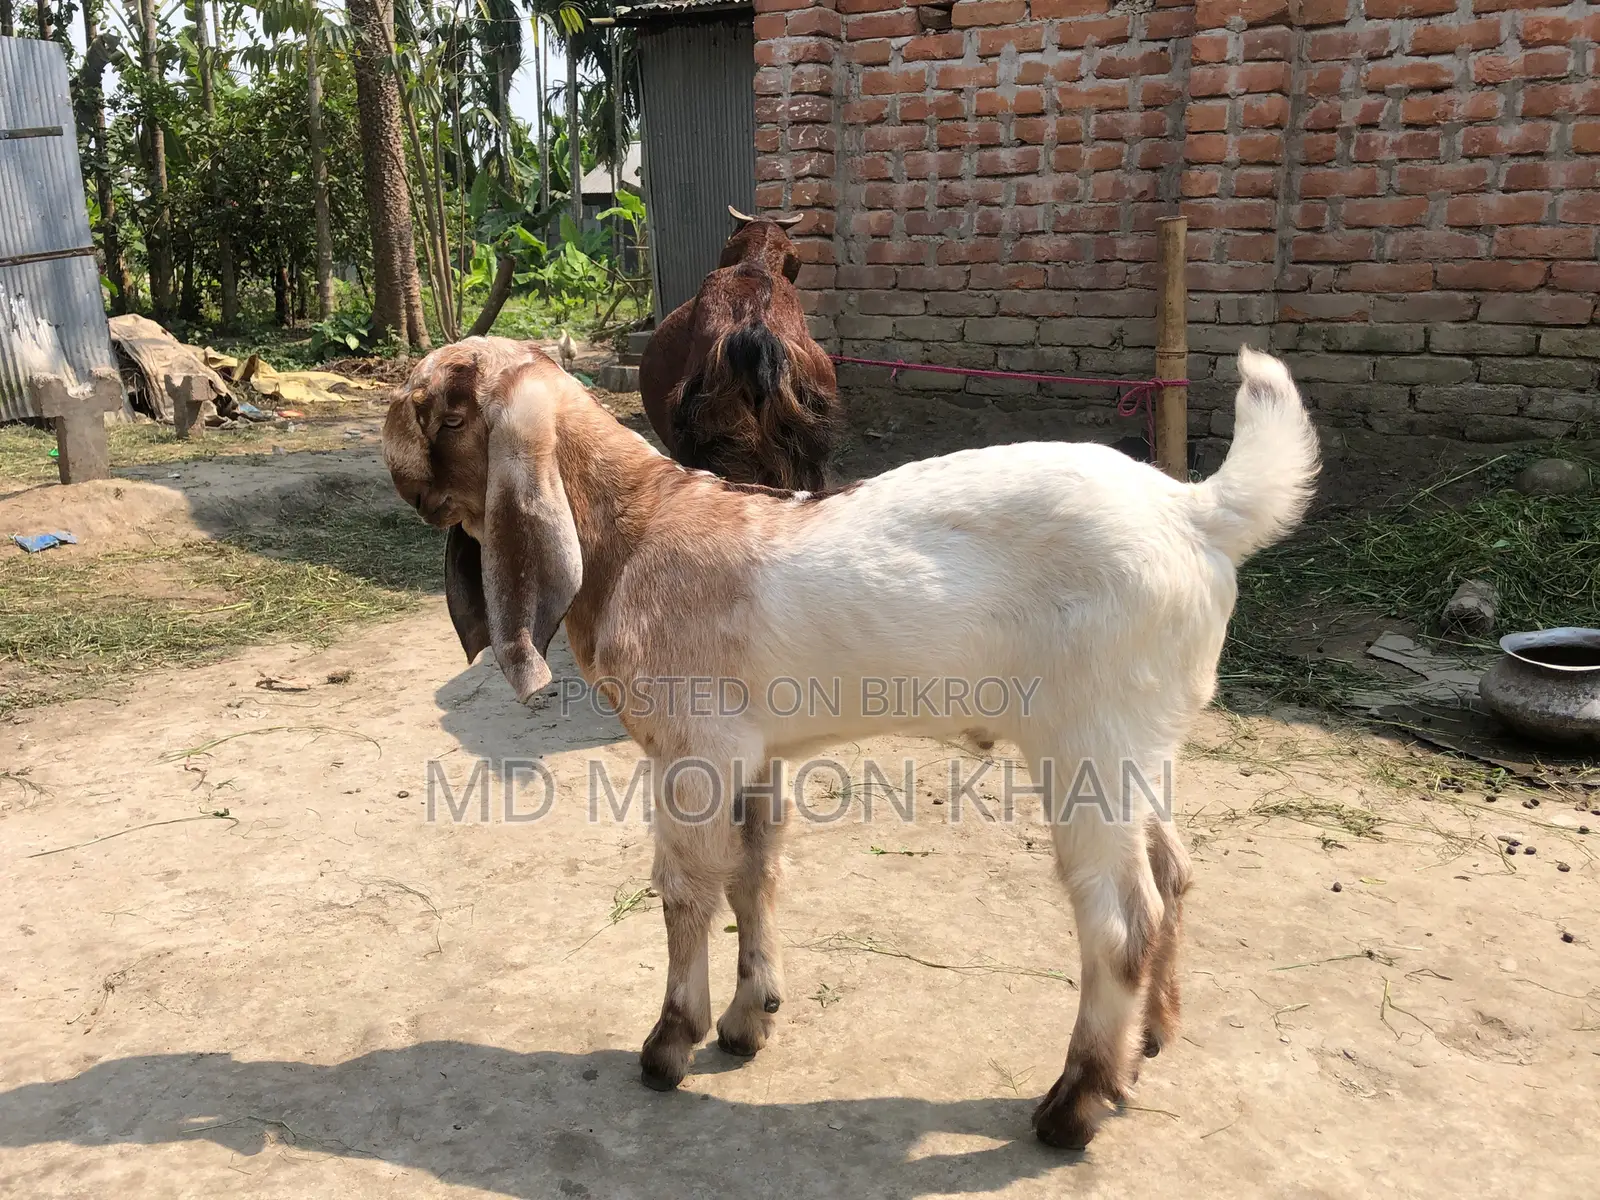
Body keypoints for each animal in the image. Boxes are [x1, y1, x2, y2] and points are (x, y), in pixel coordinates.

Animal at [384, 336, 1319, 1150]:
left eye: (433, 405)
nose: (393, 439)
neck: (637, 529)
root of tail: (1193, 512)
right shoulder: (756, 758)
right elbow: (754, 876)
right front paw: (749, 1018)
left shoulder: (692, 753)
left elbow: (686, 891)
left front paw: (669, 1044)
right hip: (1140, 746)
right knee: (1173, 870)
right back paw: (1147, 1044)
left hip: (1086, 745)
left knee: (1122, 922)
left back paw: (1073, 1106)